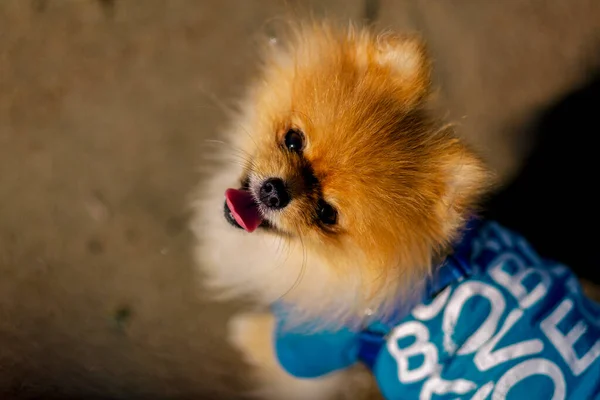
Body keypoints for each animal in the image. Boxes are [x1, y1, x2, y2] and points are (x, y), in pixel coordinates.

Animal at [193, 21, 600, 400]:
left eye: (327, 214)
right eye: (293, 140)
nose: (274, 191)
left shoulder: (317, 347)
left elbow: (274, 352)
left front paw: (244, 332)